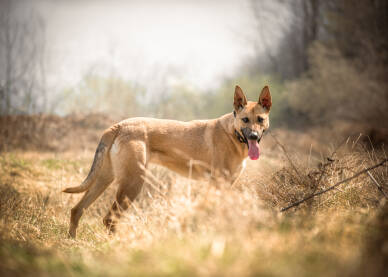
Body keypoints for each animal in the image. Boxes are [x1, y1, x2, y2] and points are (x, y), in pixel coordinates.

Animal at [63, 84, 272, 237]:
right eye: (245, 120)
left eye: (260, 119)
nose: (253, 136)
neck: (234, 134)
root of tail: (119, 125)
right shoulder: (217, 183)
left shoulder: (226, 184)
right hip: (132, 184)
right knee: (109, 218)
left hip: (105, 178)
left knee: (77, 210)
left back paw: (72, 241)